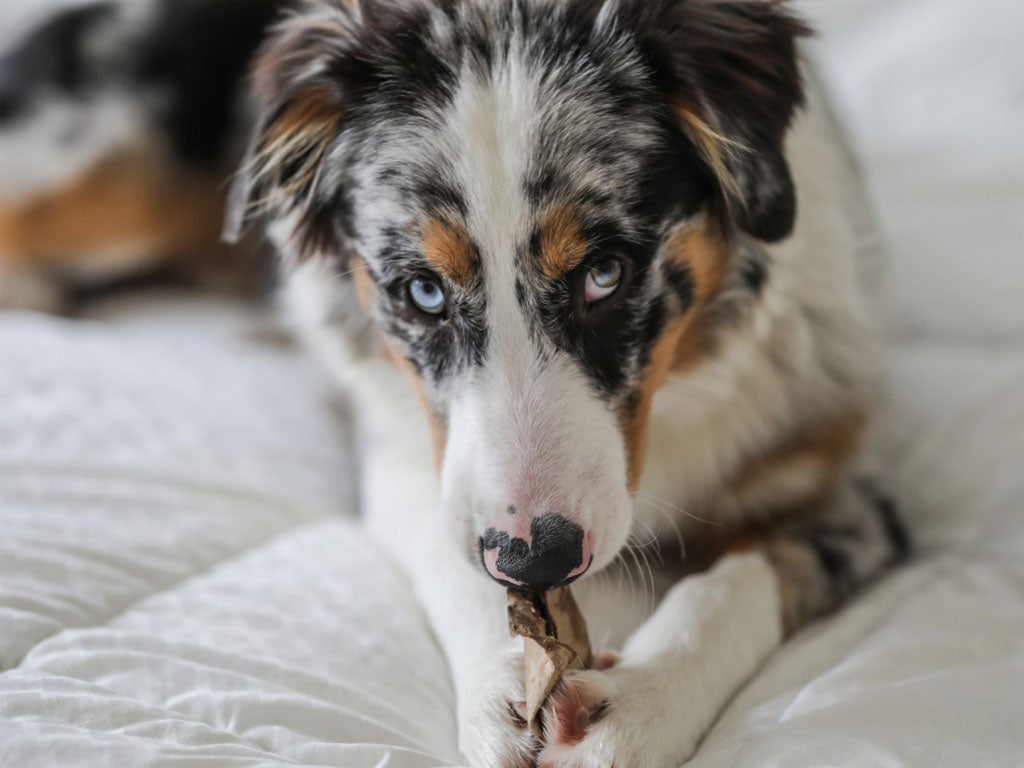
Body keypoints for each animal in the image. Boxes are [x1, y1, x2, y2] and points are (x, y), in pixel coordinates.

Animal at [224, 1, 913, 768]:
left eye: (604, 273)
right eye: (424, 292)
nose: (537, 557)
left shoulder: (846, 478)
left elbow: (731, 586)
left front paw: (640, 704)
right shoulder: (397, 448)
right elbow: (454, 559)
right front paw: (498, 694)